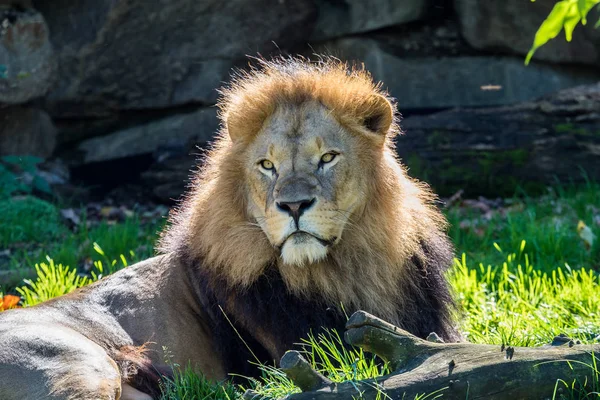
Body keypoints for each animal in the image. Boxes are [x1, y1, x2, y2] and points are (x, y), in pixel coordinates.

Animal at [0, 54, 460, 398]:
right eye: (267, 165)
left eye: (328, 157)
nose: (293, 205)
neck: (350, 267)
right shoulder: (311, 355)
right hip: (81, 366)